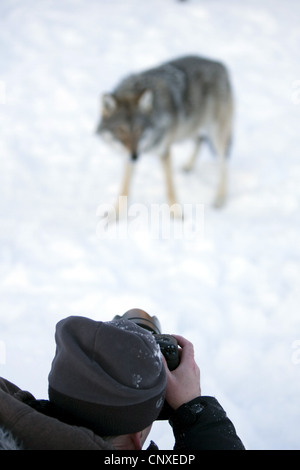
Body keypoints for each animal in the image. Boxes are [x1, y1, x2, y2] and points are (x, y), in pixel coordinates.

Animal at [96, 55, 234, 217]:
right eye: (121, 130)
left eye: (139, 130)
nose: (135, 156)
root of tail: (219, 64)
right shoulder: (128, 156)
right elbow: (124, 189)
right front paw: (114, 215)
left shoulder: (164, 152)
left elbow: (170, 187)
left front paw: (176, 214)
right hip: (191, 126)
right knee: (199, 140)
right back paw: (188, 166)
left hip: (216, 135)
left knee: (224, 163)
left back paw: (220, 199)